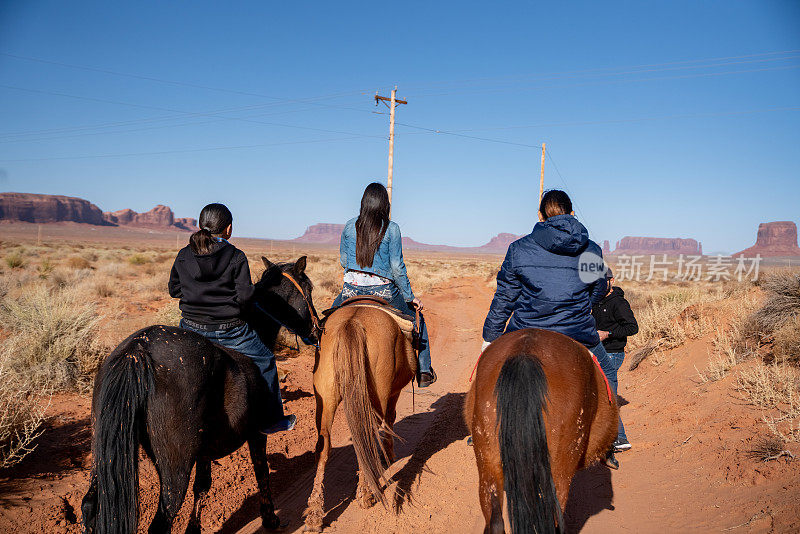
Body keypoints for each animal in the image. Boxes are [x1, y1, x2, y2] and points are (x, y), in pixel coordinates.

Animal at [80, 258, 318, 532]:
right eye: (309, 290)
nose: (317, 328)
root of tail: (137, 351)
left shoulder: (204, 450)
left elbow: (202, 486)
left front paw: (194, 528)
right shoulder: (257, 433)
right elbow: (262, 472)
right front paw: (270, 519)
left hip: (104, 452)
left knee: (90, 505)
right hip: (175, 466)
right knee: (162, 519)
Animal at [304, 306, 418, 534]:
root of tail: (352, 321)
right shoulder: (392, 394)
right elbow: (390, 420)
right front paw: (388, 455)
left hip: (325, 395)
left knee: (324, 445)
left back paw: (314, 514)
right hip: (376, 393)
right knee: (367, 436)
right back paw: (366, 494)